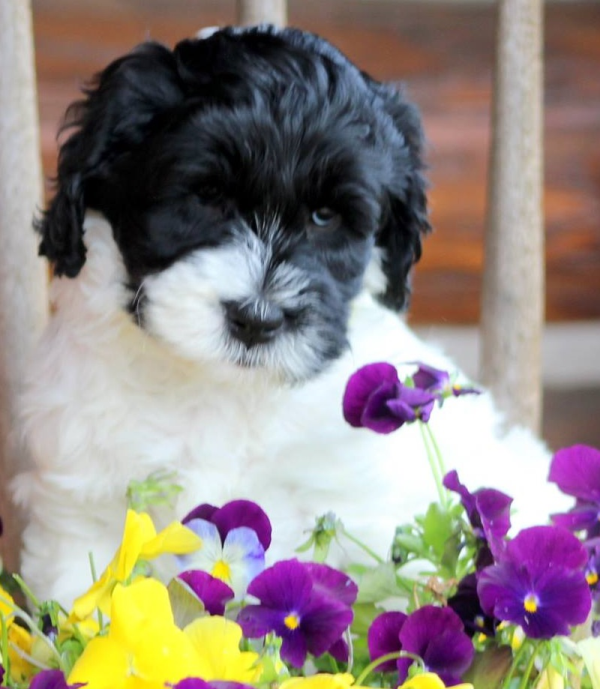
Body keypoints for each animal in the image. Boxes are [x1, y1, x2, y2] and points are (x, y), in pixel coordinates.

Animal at [14, 24, 564, 604]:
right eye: (207, 197)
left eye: (325, 217)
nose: (258, 320)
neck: (222, 390)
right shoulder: (80, 507)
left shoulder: (368, 509)